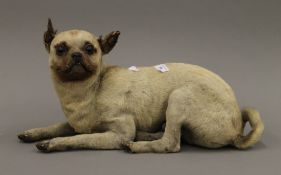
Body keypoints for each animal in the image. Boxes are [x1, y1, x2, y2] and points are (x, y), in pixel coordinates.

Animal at [17, 19, 262, 153]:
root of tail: (237, 131)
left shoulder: (118, 133)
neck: (91, 89)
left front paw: (52, 143)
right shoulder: (75, 123)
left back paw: (137, 145)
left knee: (171, 143)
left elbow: (79, 139)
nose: (76, 56)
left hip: (178, 97)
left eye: (90, 49)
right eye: (60, 49)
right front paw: (34, 133)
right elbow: (58, 126)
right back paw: (148, 135)